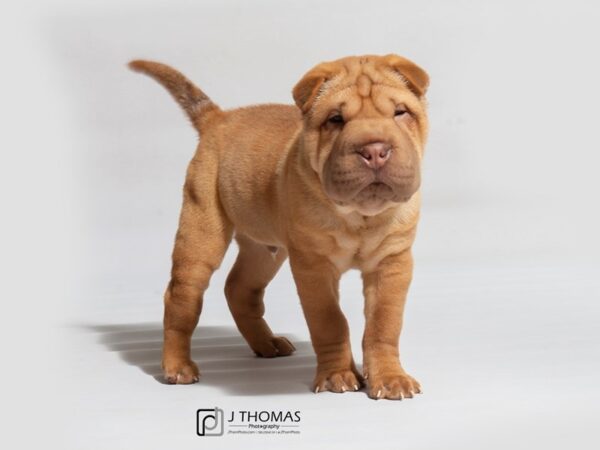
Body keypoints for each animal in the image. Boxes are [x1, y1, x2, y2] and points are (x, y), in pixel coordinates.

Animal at [129, 54, 428, 400]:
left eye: (400, 113)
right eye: (335, 119)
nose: (375, 151)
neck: (359, 216)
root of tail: (218, 118)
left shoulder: (392, 263)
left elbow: (384, 324)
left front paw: (391, 378)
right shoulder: (313, 266)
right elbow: (330, 321)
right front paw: (337, 376)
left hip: (263, 250)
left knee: (239, 288)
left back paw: (267, 344)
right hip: (201, 236)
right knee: (181, 298)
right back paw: (178, 366)